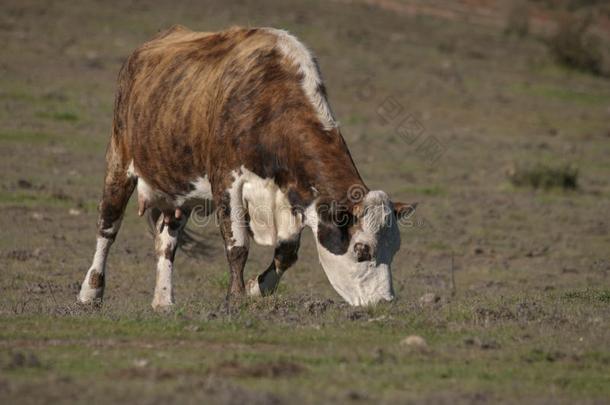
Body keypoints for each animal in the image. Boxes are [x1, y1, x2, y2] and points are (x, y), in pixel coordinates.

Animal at [77, 25, 414, 308]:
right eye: (362, 249)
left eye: (395, 249)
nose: (385, 301)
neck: (269, 105)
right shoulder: (227, 182)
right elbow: (237, 245)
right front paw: (236, 297)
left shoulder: (293, 197)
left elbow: (286, 252)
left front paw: (256, 288)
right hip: (119, 163)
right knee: (107, 227)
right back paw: (91, 292)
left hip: (178, 194)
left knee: (167, 241)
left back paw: (163, 301)